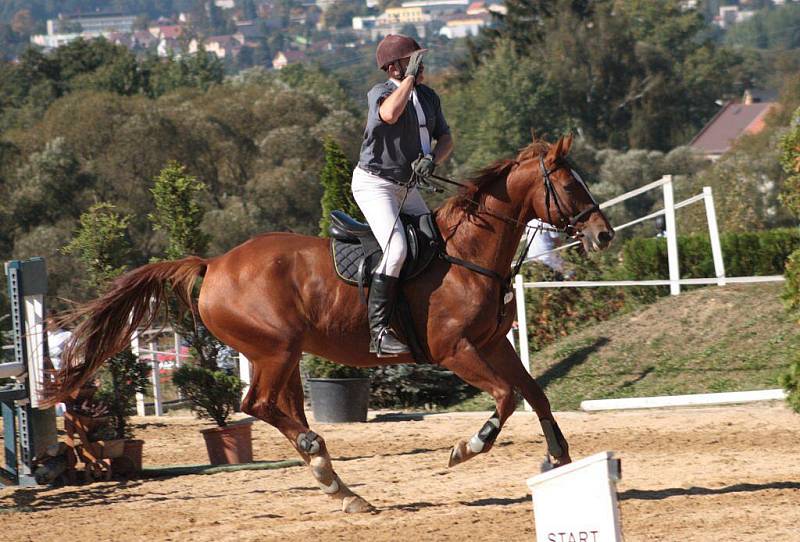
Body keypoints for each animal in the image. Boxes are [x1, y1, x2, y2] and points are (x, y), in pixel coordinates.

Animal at [47, 134, 616, 512]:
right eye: (569, 184)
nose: (604, 234)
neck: (470, 253)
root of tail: (214, 264)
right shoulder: (456, 350)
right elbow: (505, 397)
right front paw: (465, 448)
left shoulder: (494, 343)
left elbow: (535, 393)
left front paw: (558, 461)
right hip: (275, 350)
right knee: (257, 406)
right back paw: (327, 468)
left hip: (285, 354)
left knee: (282, 410)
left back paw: (338, 485)